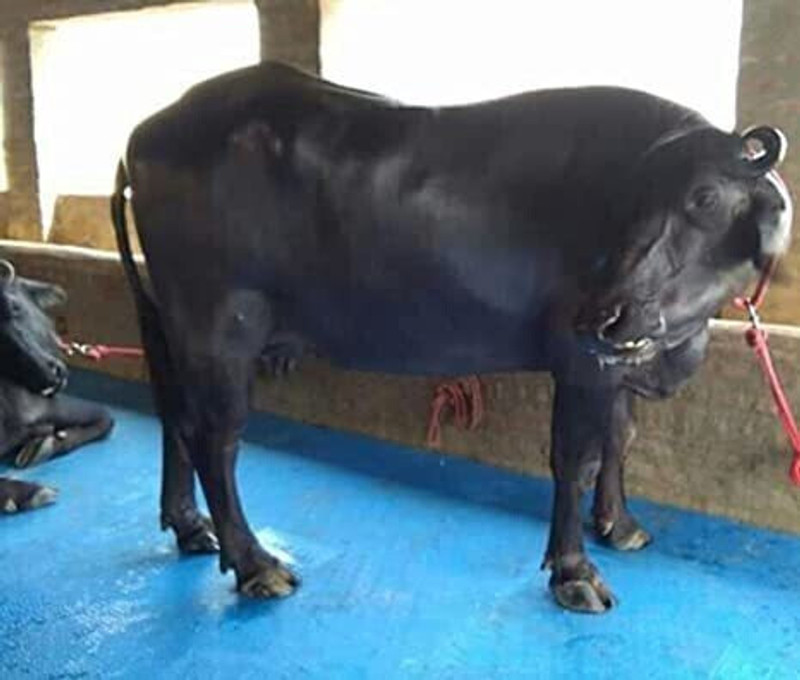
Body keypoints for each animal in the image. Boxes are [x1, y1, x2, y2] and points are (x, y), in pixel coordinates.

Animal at [0, 260, 114, 513]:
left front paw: (47, 444)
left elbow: (105, 418)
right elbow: (106, 415)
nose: (55, 373)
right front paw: (25, 493)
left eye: (14, 307)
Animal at [111, 62, 792, 613]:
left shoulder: (622, 359)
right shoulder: (581, 363)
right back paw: (256, 565)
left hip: (172, 325)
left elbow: (619, 441)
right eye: (635, 204)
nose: (602, 315)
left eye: (705, 197)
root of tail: (148, 130)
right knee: (216, 439)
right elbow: (576, 458)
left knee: (175, 415)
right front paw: (574, 572)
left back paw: (190, 526)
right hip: (219, 332)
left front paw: (620, 524)